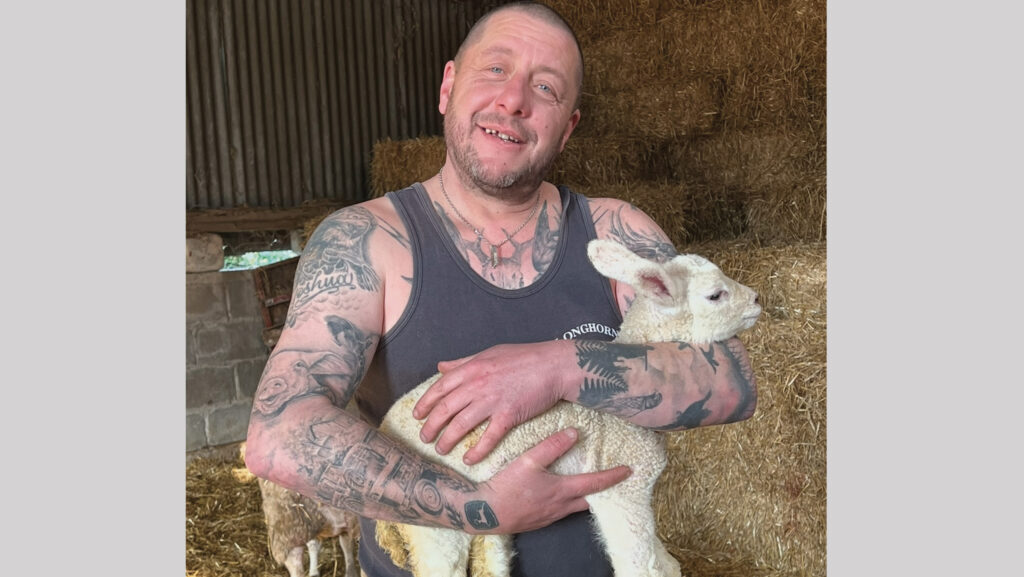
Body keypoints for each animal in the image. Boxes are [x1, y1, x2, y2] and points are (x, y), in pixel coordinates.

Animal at [374, 237, 761, 577]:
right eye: (715, 294)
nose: (757, 299)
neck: (621, 416)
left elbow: (665, 564)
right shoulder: (621, 487)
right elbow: (639, 565)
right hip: (431, 514)